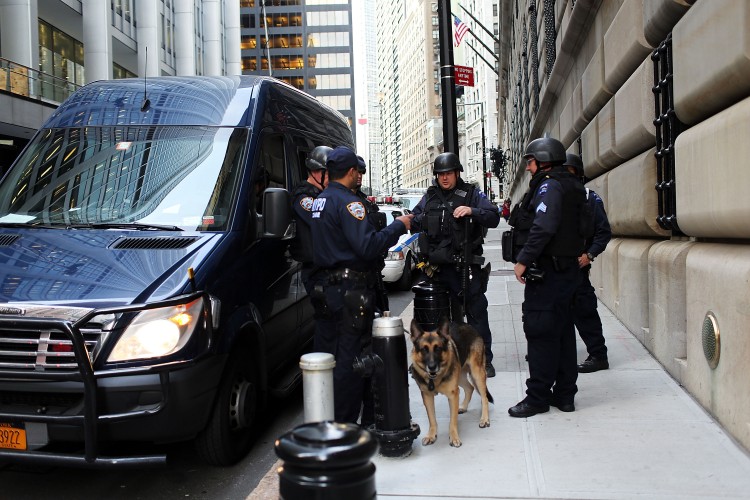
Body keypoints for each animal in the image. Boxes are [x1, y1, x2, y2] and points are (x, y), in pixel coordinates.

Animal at [412, 318, 494, 448]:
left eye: (438, 348)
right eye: (424, 349)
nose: (432, 367)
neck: (435, 379)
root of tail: (469, 326)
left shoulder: (452, 395)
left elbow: (452, 421)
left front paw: (454, 437)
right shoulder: (427, 396)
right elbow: (432, 419)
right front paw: (431, 435)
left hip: (477, 374)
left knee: (484, 397)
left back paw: (484, 419)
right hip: (460, 376)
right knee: (470, 388)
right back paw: (464, 407)